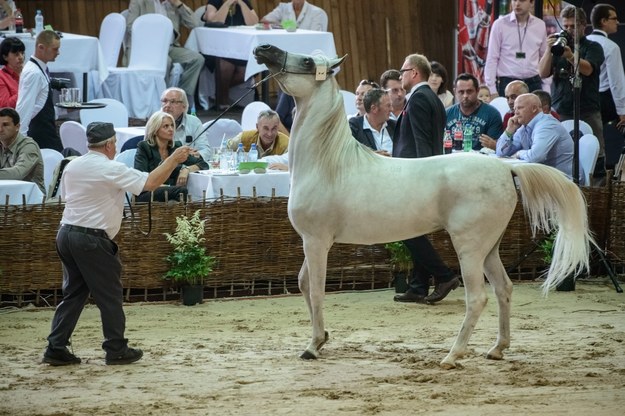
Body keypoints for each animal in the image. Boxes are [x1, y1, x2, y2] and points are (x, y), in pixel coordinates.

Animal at [252, 44, 588, 368]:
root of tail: (506, 168)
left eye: (308, 62)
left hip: (469, 248)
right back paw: (496, 349)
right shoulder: (312, 242)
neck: (328, 164)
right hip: (489, 249)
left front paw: (311, 347)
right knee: (504, 289)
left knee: (477, 298)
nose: (263, 49)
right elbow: (303, 283)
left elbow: (316, 290)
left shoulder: (317, 241)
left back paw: (452, 356)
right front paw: (321, 339)